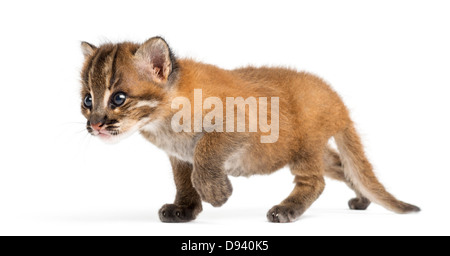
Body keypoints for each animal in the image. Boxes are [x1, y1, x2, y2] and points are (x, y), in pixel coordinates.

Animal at [79, 37, 420, 223]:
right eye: (87, 100)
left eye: (119, 97)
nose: (94, 124)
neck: (161, 121)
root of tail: (335, 98)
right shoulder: (178, 156)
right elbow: (184, 180)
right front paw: (185, 209)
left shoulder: (242, 122)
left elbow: (206, 151)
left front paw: (217, 193)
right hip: (308, 150)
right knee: (343, 165)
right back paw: (362, 199)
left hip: (305, 149)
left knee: (316, 182)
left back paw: (287, 209)